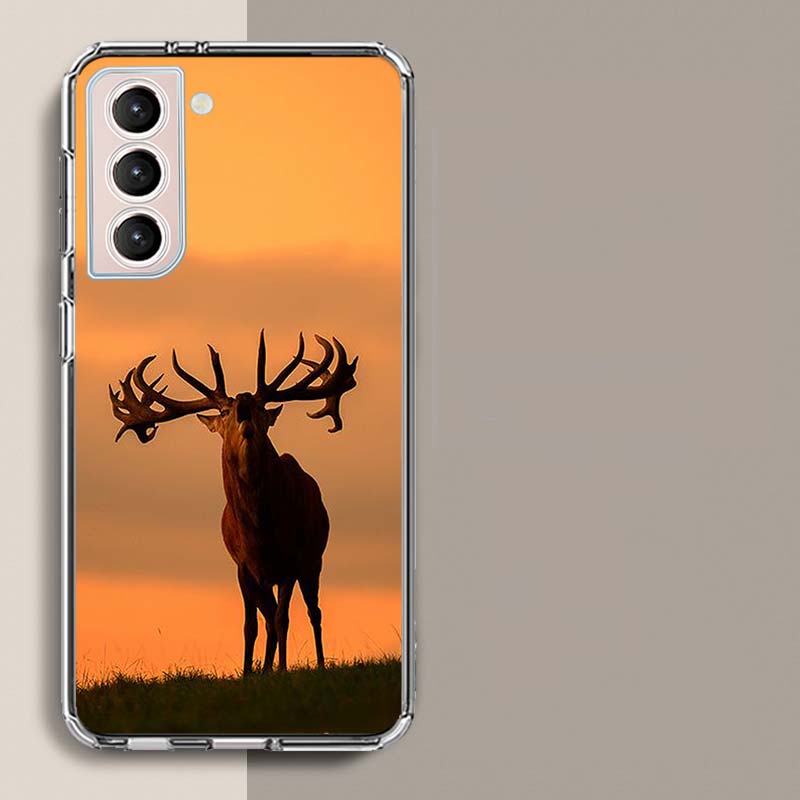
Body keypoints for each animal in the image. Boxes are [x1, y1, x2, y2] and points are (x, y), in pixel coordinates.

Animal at [108, 331, 358, 675]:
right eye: (225, 412)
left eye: (260, 406)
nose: (242, 405)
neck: (262, 530)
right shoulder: (243, 567)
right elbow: (251, 625)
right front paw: (250, 672)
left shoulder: (291, 560)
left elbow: (284, 618)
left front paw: (282, 669)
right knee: (270, 618)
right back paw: (265, 669)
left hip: (313, 560)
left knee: (313, 613)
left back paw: (317, 665)